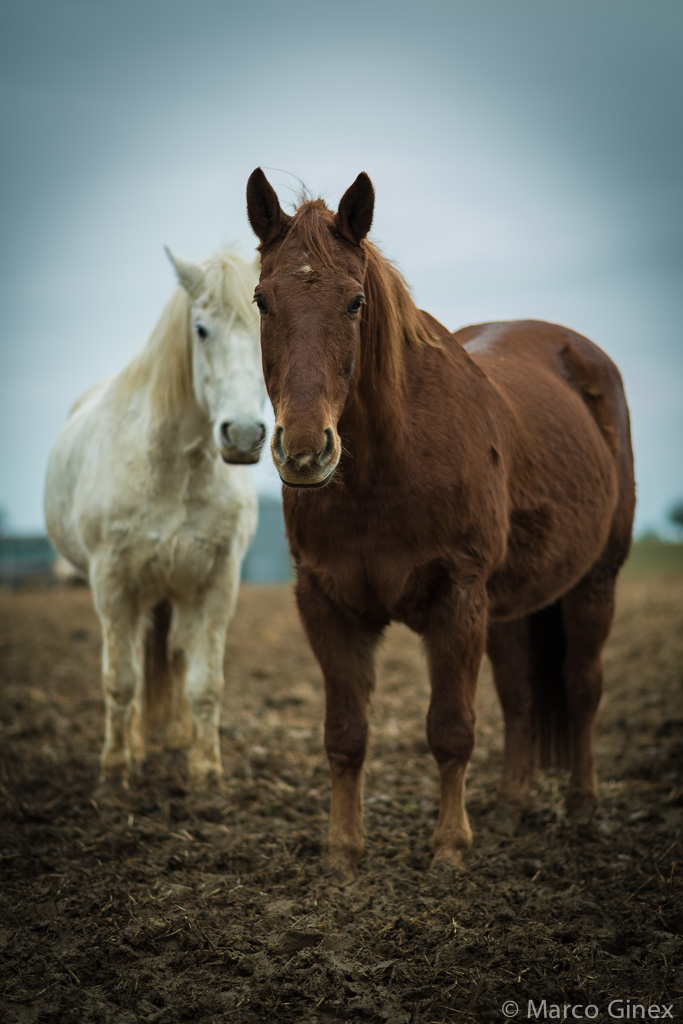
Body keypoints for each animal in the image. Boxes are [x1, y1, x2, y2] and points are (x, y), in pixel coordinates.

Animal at [44, 247, 266, 793]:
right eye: (201, 329)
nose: (244, 434)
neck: (172, 470)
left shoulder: (217, 582)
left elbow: (205, 683)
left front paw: (206, 771)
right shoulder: (112, 583)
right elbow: (120, 680)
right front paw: (116, 770)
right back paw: (136, 747)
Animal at [246, 168, 636, 877]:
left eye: (355, 303)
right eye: (262, 301)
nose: (306, 450)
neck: (383, 473)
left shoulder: (458, 598)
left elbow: (451, 728)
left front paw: (450, 848)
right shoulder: (326, 604)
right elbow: (345, 735)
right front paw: (342, 851)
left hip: (595, 582)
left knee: (582, 686)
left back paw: (582, 807)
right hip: (508, 606)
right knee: (521, 698)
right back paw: (510, 808)